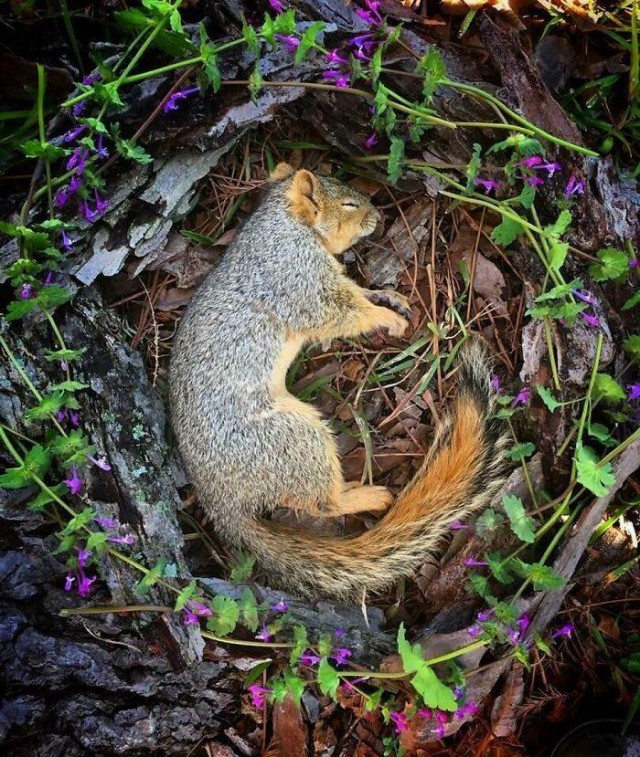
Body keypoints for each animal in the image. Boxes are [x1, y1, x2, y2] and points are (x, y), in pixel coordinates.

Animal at [169, 162, 504, 600]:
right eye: (347, 204)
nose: (377, 217)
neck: (287, 224)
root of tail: (224, 505)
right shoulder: (296, 277)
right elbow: (338, 310)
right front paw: (387, 318)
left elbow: (359, 294)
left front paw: (387, 297)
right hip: (292, 439)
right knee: (319, 503)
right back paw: (370, 495)